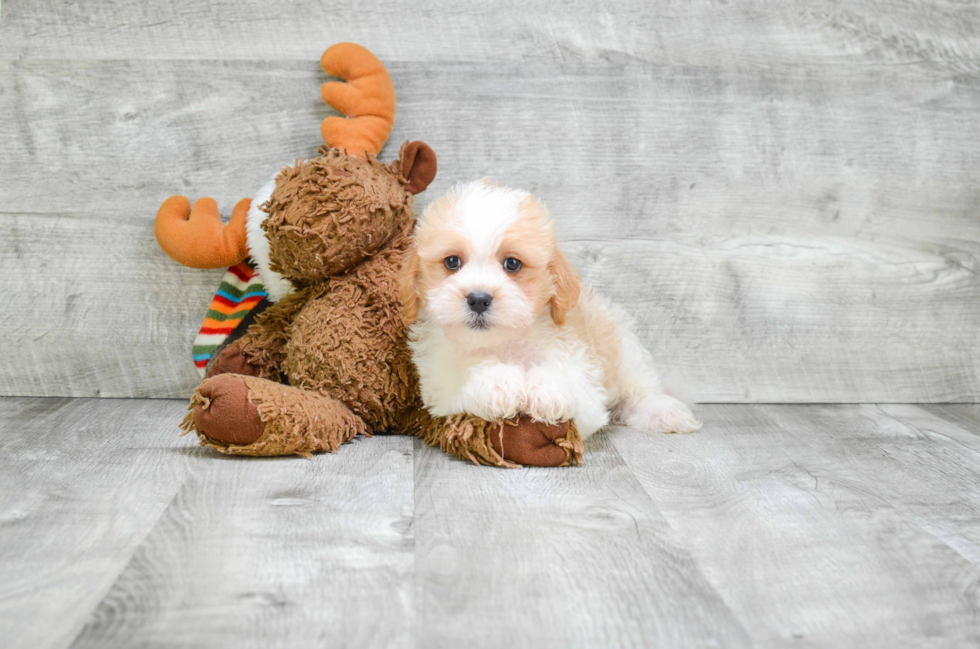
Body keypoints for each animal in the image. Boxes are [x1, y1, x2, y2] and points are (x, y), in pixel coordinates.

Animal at [400, 180, 704, 438]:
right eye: (452, 262)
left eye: (512, 264)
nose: (478, 299)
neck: (504, 344)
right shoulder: (438, 388)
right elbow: (462, 383)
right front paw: (497, 384)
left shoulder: (585, 383)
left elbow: (572, 386)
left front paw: (547, 391)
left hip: (625, 349)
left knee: (641, 389)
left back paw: (665, 412)